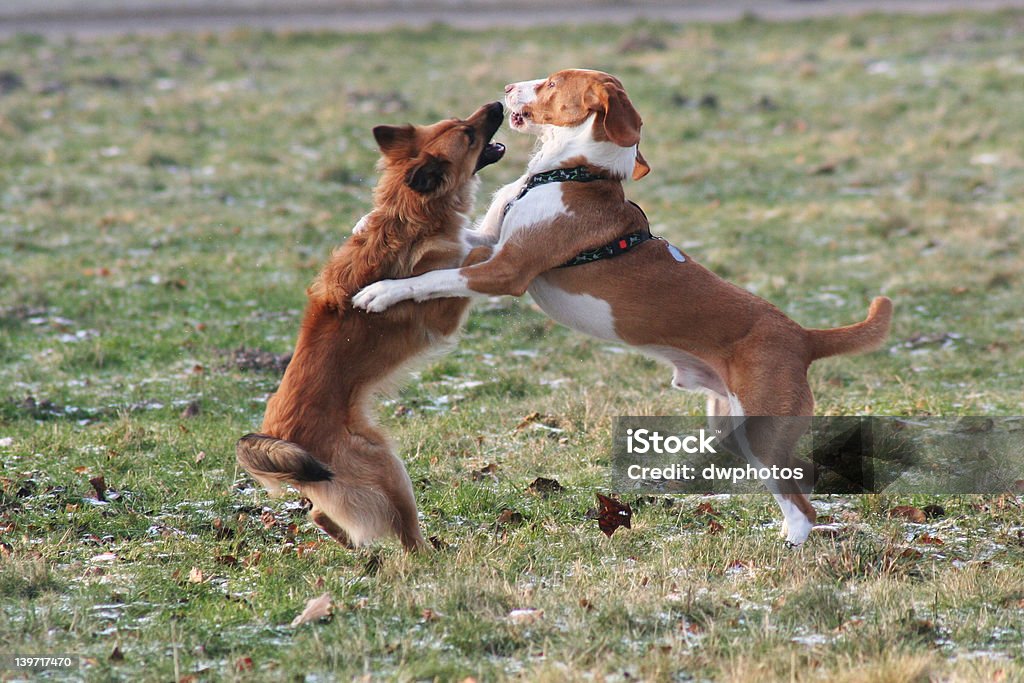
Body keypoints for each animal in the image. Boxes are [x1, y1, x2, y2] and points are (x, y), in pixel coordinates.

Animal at [233, 100, 503, 548]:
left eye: (460, 121)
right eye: (467, 134)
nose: (498, 104)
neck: (408, 217)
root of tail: (280, 437)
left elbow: (479, 236)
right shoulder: (446, 309)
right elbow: (471, 256)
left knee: (319, 514)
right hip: (386, 465)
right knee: (404, 533)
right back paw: (429, 553)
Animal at [348, 72, 892, 548]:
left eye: (552, 82)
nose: (506, 87)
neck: (573, 172)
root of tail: (803, 335)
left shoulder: (507, 271)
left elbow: (431, 278)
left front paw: (381, 292)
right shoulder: (492, 242)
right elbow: (462, 239)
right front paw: (364, 226)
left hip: (763, 429)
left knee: (804, 504)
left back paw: (793, 542)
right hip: (734, 427)